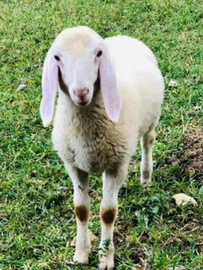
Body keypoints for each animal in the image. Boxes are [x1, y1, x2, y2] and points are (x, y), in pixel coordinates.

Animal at [40, 25, 165, 270]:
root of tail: (124, 37)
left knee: (148, 142)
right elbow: (81, 210)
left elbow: (108, 213)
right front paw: (81, 254)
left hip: (151, 119)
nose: (81, 92)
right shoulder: (74, 165)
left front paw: (106, 258)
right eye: (57, 57)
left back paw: (146, 177)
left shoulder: (117, 165)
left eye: (98, 53)